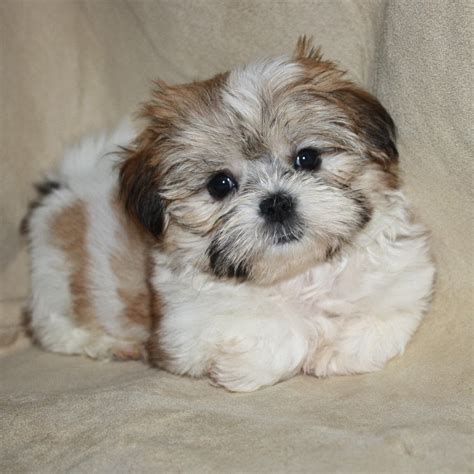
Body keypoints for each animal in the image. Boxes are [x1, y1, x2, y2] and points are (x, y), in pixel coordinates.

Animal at [25, 39, 434, 390]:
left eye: (307, 158)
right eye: (220, 184)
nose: (276, 202)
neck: (297, 276)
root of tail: (67, 184)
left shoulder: (403, 278)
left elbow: (387, 313)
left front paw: (339, 350)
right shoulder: (183, 330)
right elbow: (284, 329)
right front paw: (293, 343)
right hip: (56, 279)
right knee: (52, 328)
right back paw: (106, 344)